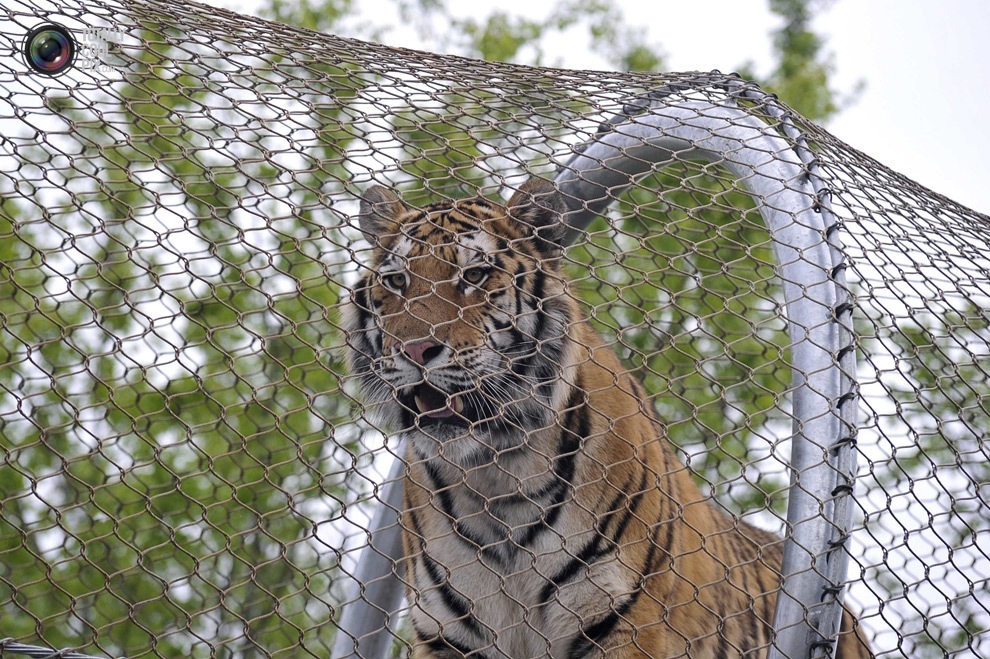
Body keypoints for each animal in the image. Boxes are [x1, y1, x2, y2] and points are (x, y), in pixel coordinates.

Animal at [344, 179, 872, 659]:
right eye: (396, 281)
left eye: (474, 275)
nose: (415, 350)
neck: (496, 473)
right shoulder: (448, 637)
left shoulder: (623, 621)